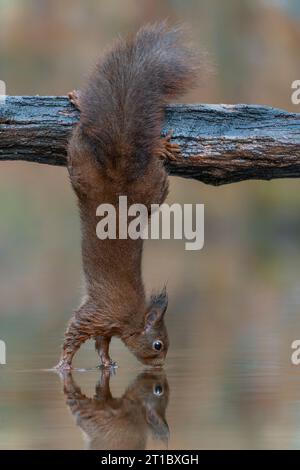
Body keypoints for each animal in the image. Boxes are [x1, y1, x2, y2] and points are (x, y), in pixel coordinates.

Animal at [55, 23, 198, 370]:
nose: (160, 366)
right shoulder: (99, 313)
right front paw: (63, 364)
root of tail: (118, 171)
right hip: (92, 168)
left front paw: (108, 363)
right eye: (158, 345)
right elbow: (75, 334)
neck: (132, 317)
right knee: (81, 137)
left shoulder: (105, 326)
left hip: (144, 188)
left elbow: (102, 344)